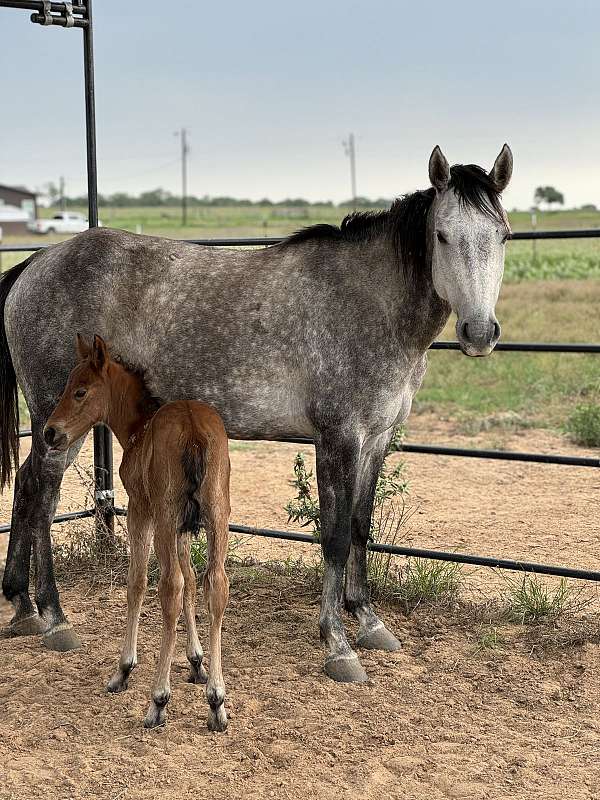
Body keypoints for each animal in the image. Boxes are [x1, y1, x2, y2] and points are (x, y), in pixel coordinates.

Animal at [43, 334, 231, 728]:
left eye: (80, 391)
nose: (51, 432)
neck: (138, 431)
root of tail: (193, 431)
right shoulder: (185, 527)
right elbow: (194, 581)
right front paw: (197, 662)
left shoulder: (140, 512)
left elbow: (138, 582)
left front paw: (123, 668)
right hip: (217, 517)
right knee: (215, 585)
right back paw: (217, 701)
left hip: (163, 518)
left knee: (170, 587)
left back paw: (158, 699)